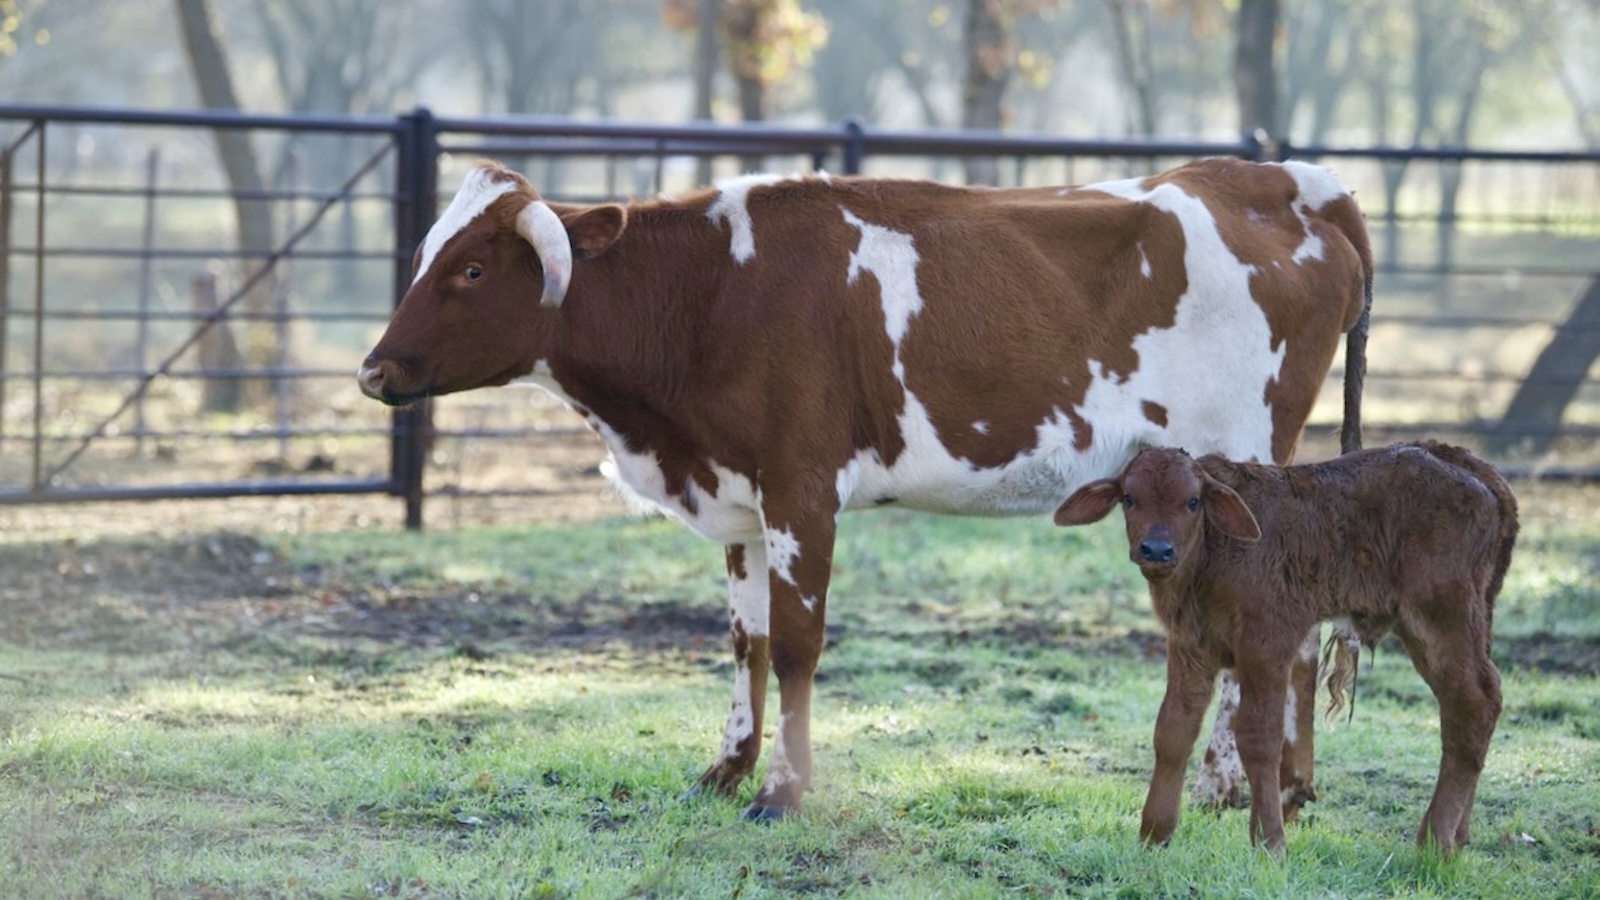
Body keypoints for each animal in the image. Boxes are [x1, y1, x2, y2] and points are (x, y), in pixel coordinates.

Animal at [356, 156, 1373, 822]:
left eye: (472, 268)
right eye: (427, 258)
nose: (373, 371)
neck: (710, 294)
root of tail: (1280, 181)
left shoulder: (802, 492)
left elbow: (798, 647)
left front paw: (783, 793)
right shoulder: (740, 496)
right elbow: (748, 643)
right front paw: (727, 770)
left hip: (1238, 462)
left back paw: (1224, 787)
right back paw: (1288, 787)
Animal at [1053, 443, 1515, 854]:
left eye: (1192, 502)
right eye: (1130, 498)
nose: (1157, 550)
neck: (1211, 555)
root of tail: (1469, 464)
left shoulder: (1266, 644)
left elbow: (1259, 737)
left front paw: (1270, 841)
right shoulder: (1190, 647)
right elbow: (1173, 730)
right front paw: (1154, 834)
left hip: (1442, 617)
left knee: (1475, 703)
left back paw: (1436, 840)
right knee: (1470, 707)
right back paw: (1456, 836)